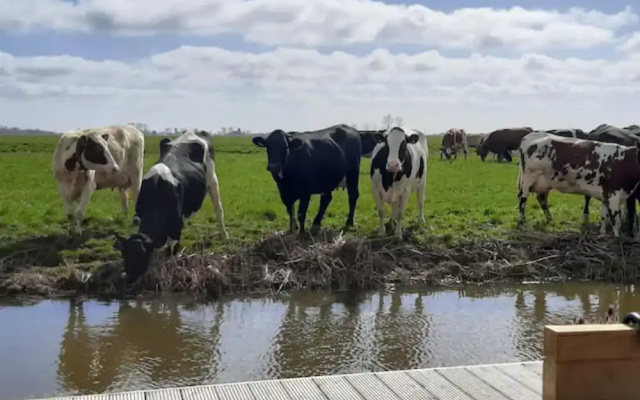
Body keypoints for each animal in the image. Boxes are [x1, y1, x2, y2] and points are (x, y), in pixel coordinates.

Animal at [113, 129, 228, 283]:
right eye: (125, 254)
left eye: (141, 256)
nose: (129, 278)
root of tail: (194, 131)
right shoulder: (138, 216)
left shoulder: (176, 226)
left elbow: (172, 252)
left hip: (212, 179)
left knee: (218, 209)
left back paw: (224, 235)